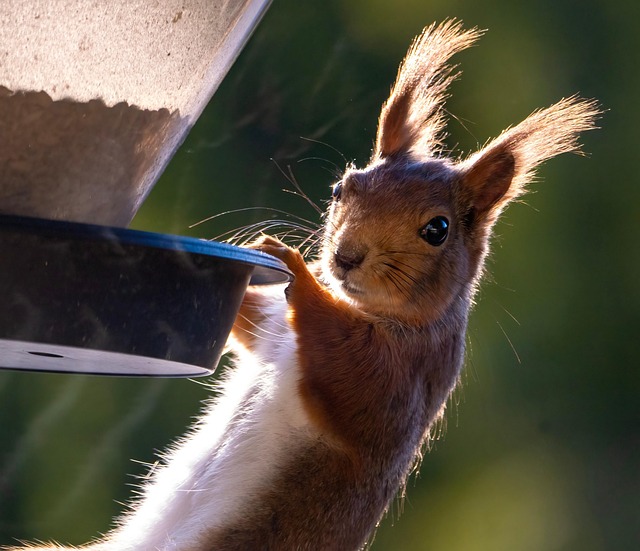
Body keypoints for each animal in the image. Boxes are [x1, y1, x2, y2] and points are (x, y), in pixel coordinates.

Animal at [6, 20, 599, 551]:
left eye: (438, 230)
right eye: (342, 187)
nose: (344, 256)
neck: (369, 309)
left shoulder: (407, 378)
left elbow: (350, 380)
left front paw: (297, 269)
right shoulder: (276, 329)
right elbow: (255, 321)